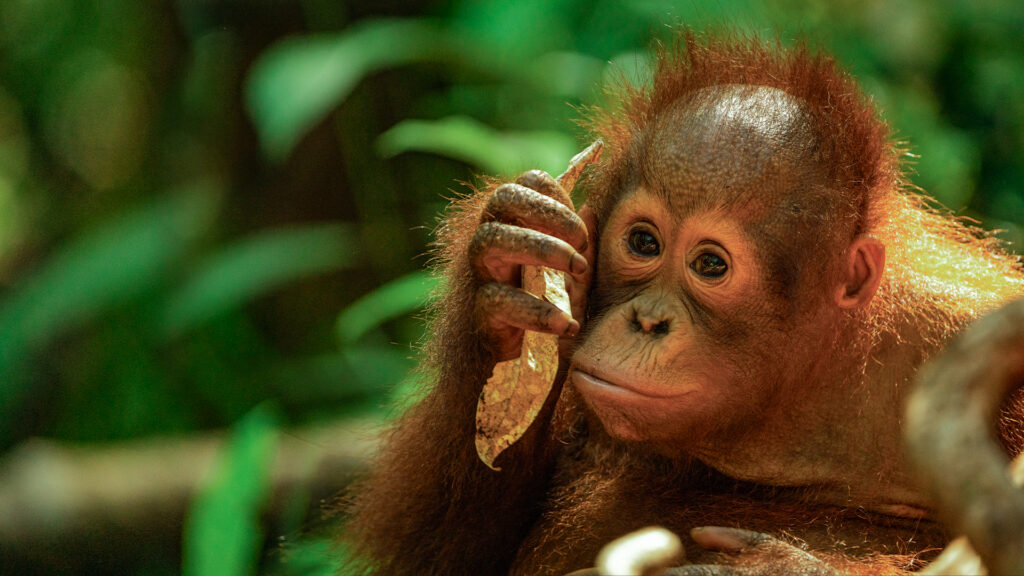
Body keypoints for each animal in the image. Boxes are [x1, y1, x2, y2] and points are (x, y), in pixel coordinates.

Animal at [339, 32, 1024, 575]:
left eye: (710, 265)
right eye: (644, 242)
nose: (647, 321)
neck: (797, 390)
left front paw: (765, 569)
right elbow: (451, 556)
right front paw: (502, 282)